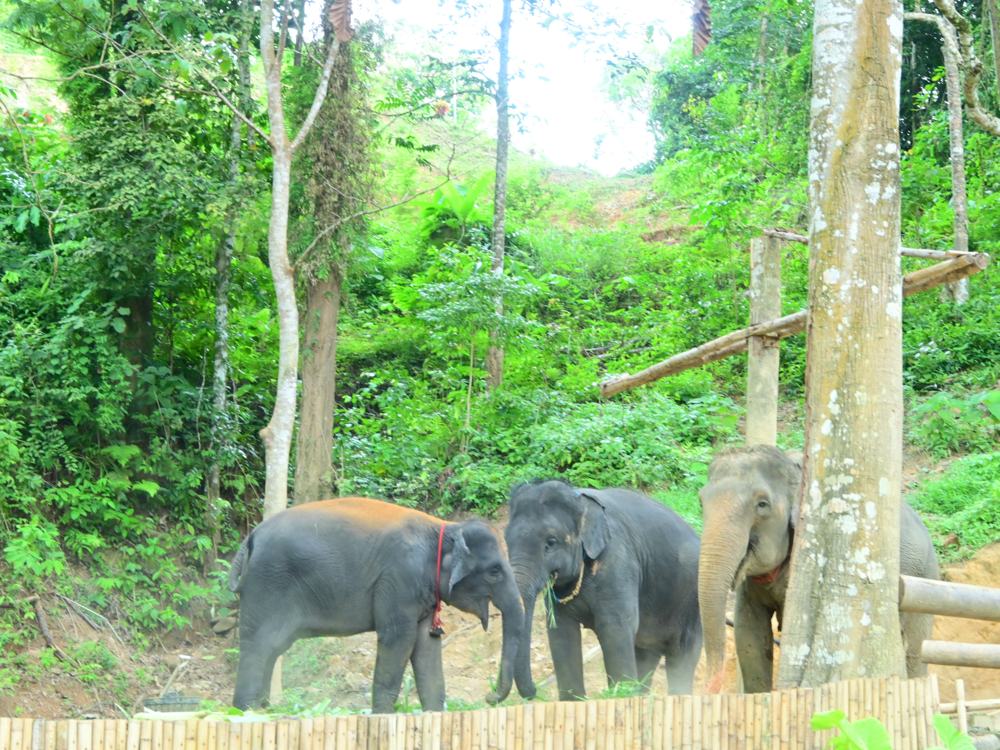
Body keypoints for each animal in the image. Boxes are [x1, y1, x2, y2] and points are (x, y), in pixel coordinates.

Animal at [227, 497, 527, 713]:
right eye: (495, 572)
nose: (489, 697)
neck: (445, 526)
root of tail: (251, 537)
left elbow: (427, 645)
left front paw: (434, 714)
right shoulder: (399, 580)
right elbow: (399, 639)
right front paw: (384, 715)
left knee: (272, 648)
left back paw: (263, 709)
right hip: (267, 585)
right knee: (260, 644)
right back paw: (247, 711)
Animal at [504, 479, 702, 700]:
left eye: (551, 542)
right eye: (506, 541)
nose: (533, 692)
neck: (579, 498)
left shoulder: (617, 561)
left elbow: (614, 628)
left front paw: (620, 695)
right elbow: (561, 632)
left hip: (694, 602)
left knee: (681, 656)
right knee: (645, 653)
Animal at [698, 445, 940, 693]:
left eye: (762, 504)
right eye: (701, 502)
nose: (710, 688)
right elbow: (749, 636)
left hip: (924, 580)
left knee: (914, 649)